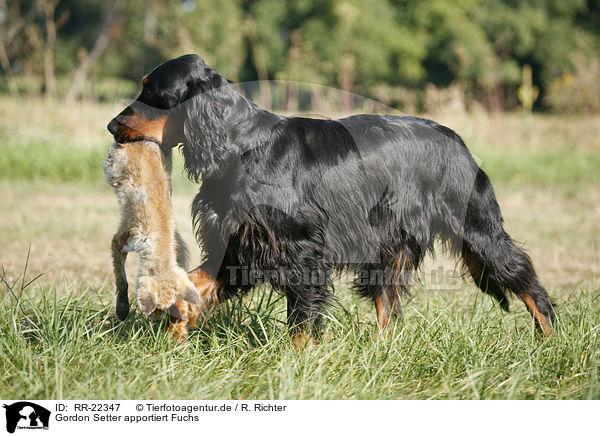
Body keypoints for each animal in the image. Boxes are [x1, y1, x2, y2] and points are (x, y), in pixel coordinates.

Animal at [106, 54, 552, 342]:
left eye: (151, 92)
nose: (111, 125)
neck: (240, 145)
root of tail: (458, 141)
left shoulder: (300, 249)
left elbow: (302, 318)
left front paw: (296, 361)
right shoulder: (241, 245)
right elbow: (199, 282)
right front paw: (177, 323)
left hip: (477, 230)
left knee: (524, 275)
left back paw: (549, 340)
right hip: (386, 246)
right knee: (385, 302)